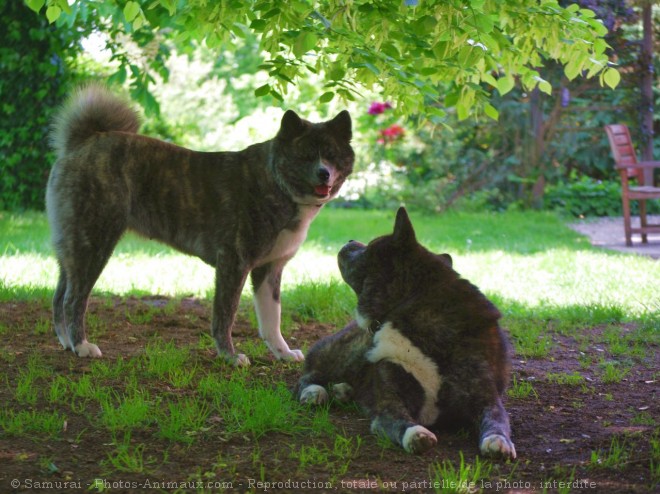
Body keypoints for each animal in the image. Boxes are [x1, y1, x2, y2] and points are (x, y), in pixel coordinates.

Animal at [45, 85, 356, 364]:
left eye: (331, 154)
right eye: (306, 156)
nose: (324, 173)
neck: (275, 180)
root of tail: (85, 140)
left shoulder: (269, 270)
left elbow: (271, 320)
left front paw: (283, 353)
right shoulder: (233, 262)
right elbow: (225, 315)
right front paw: (229, 356)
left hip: (72, 248)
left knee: (59, 297)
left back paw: (66, 343)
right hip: (94, 243)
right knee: (74, 300)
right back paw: (82, 345)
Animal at [296, 206, 520, 458]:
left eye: (370, 246)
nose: (350, 240)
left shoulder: (485, 397)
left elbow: (495, 418)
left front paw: (498, 440)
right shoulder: (389, 400)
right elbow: (397, 419)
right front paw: (415, 433)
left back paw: (344, 390)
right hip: (350, 351)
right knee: (308, 375)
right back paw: (314, 392)